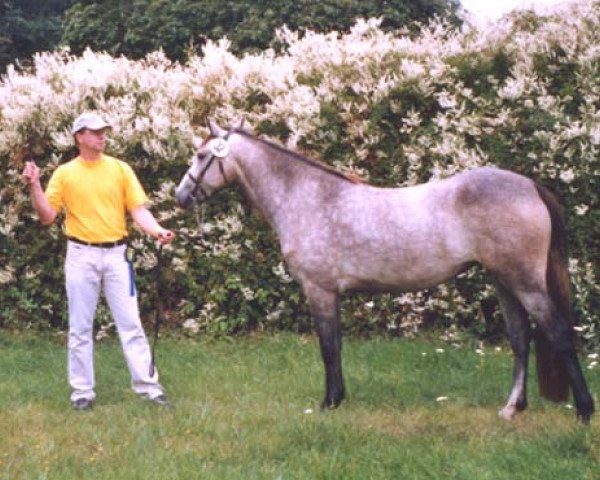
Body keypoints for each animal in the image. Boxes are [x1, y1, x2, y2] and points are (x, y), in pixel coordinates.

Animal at [175, 120, 596, 424]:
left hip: (525, 282)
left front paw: (330, 402)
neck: (309, 198)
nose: (181, 196)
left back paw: (584, 411)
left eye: (200, 155)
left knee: (559, 333)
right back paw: (512, 407)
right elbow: (334, 345)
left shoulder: (319, 290)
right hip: (503, 281)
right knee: (520, 338)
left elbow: (329, 347)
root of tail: (530, 185)